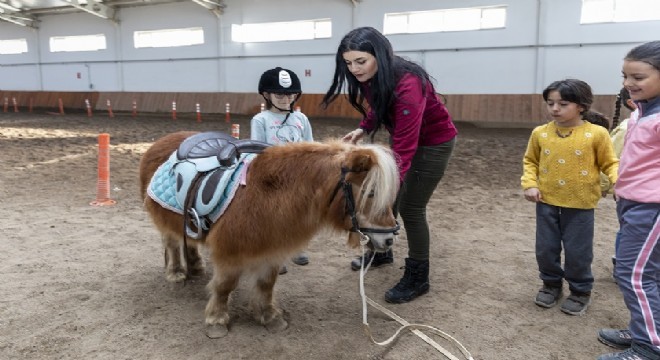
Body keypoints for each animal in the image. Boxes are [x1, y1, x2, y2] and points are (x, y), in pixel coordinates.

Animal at [138, 131, 402, 338]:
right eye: (371, 193)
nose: (389, 239)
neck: (271, 194)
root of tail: (161, 141)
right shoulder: (229, 253)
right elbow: (224, 286)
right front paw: (216, 320)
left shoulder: (273, 249)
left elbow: (266, 285)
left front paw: (269, 317)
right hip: (167, 223)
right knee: (172, 243)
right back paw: (176, 274)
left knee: (190, 242)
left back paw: (196, 266)